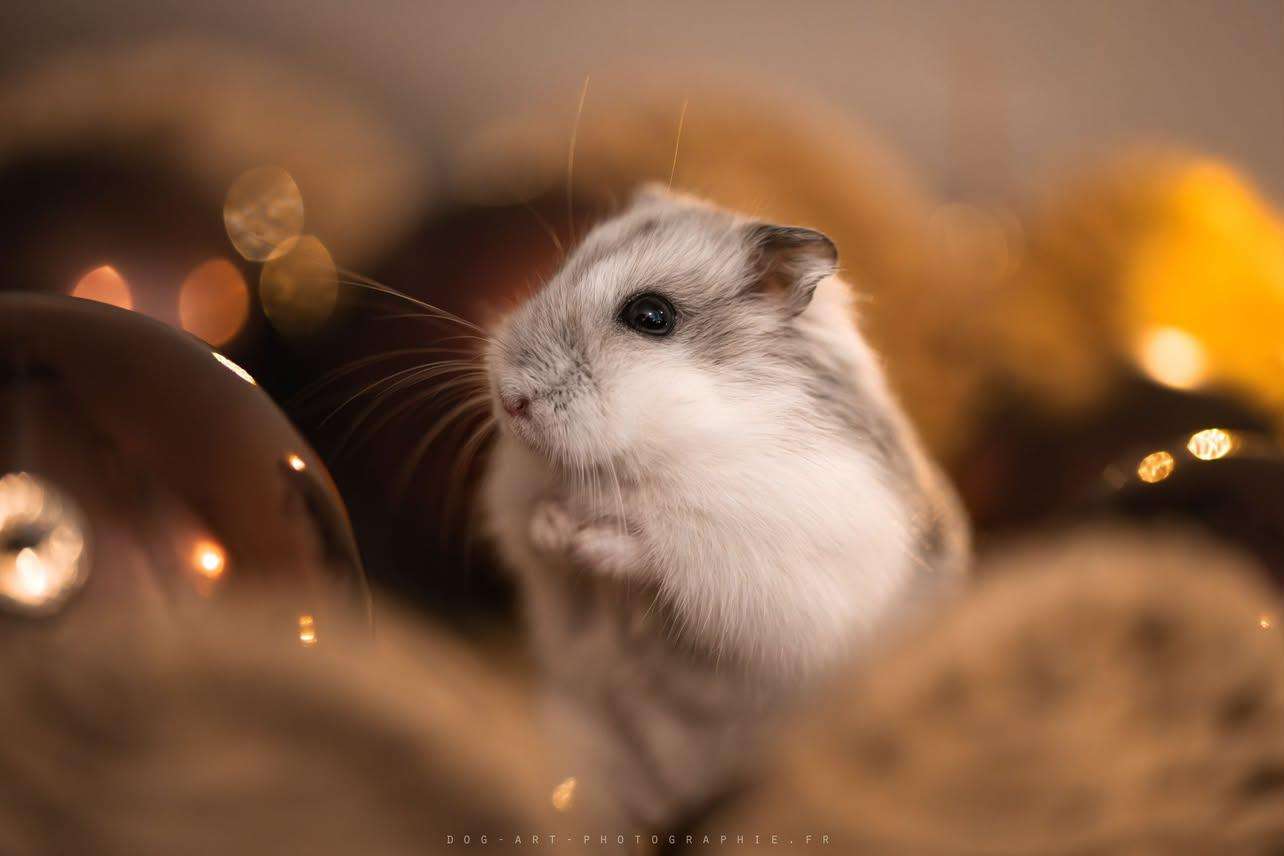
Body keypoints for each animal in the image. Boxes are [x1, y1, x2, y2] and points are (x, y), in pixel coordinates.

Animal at [481, 185, 968, 828]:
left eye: (651, 316)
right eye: (559, 268)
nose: (509, 398)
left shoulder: (761, 559)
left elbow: (656, 552)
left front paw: (589, 540)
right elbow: (540, 540)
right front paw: (553, 530)